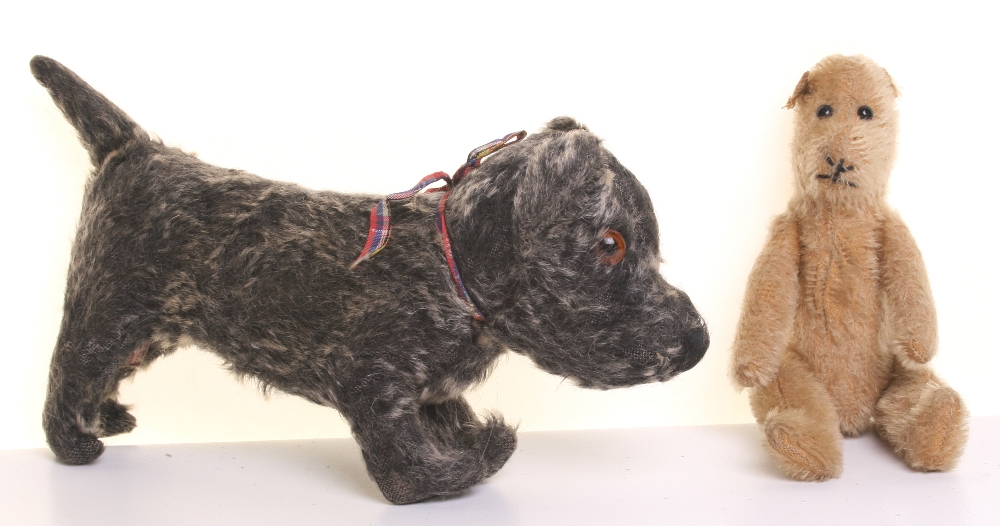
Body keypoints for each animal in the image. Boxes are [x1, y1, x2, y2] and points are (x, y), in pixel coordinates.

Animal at [31, 55, 712, 506]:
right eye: (611, 245)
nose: (700, 341)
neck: (452, 271)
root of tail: (132, 149)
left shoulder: (432, 392)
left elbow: (446, 424)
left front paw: (469, 439)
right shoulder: (375, 390)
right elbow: (413, 471)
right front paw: (483, 451)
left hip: (150, 330)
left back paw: (106, 417)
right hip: (106, 311)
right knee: (69, 374)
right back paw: (75, 441)